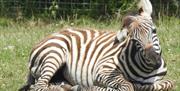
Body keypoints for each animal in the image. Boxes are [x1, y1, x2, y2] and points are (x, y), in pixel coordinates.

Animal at [18, 0, 174, 90]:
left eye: (154, 30)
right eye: (134, 41)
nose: (155, 61)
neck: (147, 70)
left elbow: (168, 83)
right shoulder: (103, 70)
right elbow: (127, 85)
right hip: (54, 54)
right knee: (39, 86)